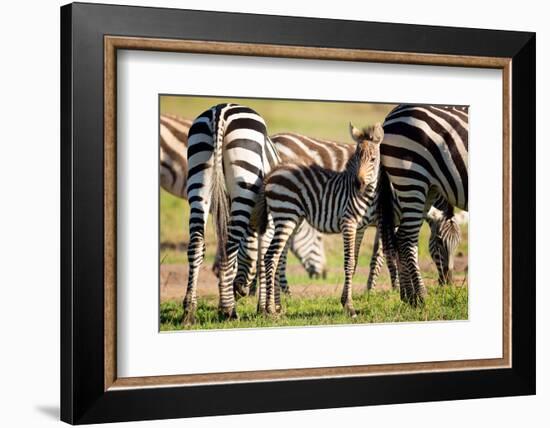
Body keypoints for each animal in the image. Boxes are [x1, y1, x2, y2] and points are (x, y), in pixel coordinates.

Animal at [253, 122, 384, 316]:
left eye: (373, 159)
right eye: (355, 159)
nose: (358, 184)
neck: (366, 196)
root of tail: (273, 173)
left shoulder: (361, 227)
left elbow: (355, 262)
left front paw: (346, 301)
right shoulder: (348, 223)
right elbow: (349, 262)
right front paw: (350, 306)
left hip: (293, 218)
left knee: (277, 256)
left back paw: (275, 307)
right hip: (285, 215)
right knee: (270, 256)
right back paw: (270, 310)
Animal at [380, 103, 470, 304]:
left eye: (458, 243)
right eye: (438, 241)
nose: (448, 282)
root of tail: (392, 112)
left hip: (426, 189)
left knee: (401, 239)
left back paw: (408, 296)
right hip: (412, 177)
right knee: (405, 238)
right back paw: (419, 297)